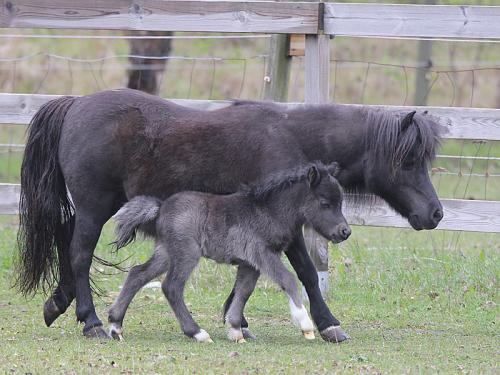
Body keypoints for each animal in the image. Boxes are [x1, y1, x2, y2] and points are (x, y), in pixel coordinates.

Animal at [109, 162, 352, 344]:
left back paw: (115, 325)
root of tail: (160, 208)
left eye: (341, 201)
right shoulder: (262, 253)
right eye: (325, 203)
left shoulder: (250, 263)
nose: (345, 231)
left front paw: (235, 329)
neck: (269, 211)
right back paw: (197, 333)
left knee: (138, 274)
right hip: (187, 253)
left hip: (167, 252)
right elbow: (288, 279)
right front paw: (305, 324)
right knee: (172, 287)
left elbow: (244, 291)